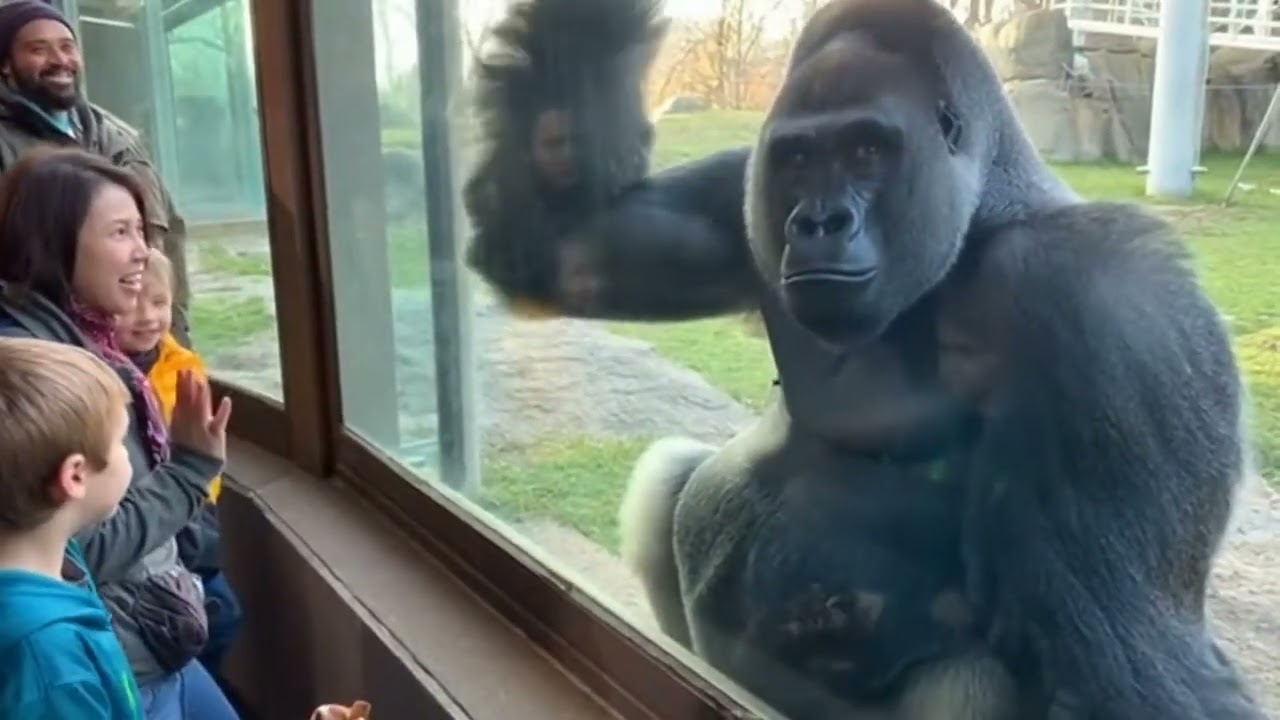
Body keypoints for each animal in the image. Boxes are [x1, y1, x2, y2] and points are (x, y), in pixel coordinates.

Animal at [461, 0, 1266, 718]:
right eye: (797, 158)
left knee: (976, 676)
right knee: (670, 472)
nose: (819, 221)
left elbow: (1133, 662)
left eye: (866, 151)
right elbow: (555, 244)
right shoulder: (739, 189)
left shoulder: (1112, 299)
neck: (983, 217)